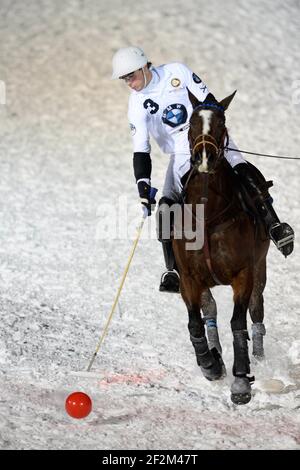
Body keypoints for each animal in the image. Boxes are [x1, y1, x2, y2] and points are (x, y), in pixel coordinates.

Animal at [173, 91, 270, 404]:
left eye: (222, 122)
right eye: (191, 122)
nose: (205, 157)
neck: (209, 215)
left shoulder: (244, 274)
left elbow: (238, 322)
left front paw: (241, 381)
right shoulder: (189, 278)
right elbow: (195, 322)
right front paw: (210, 363)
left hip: (261, 268)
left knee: (256, 307)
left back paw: (259, 356)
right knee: (210, 310)